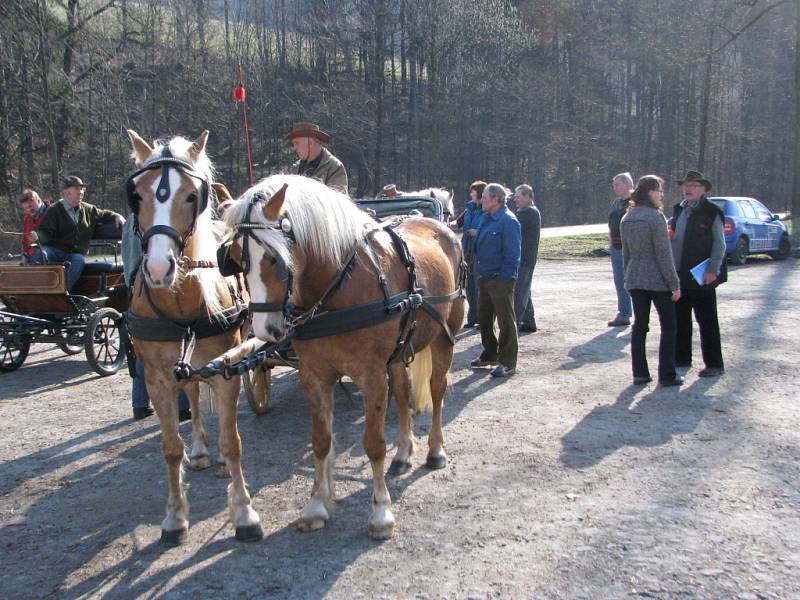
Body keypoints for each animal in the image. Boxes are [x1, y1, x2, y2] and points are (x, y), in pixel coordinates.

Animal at [125, 129, 260, 548]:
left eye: (190, 196)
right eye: (138, 196)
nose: (157, 268)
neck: (182, 305)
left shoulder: (229, 365)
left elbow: (233, 441)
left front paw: (244, 513)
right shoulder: (157, 377)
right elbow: (171, 449)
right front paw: (174, 517)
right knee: (195, 394)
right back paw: (201, 449)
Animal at [222, 173, 466, 540]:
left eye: (275, 258)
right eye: (236, 258)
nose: (265, 330)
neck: (340, 287)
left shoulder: (371, 375)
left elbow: (373, 443)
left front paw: (381, 513)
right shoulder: (314, 375)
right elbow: (321, 441)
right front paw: (316, 507)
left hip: (443, 336)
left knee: (437, 389)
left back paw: (435, 450)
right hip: (398, 353)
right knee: (403, 391)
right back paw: (402, 454)